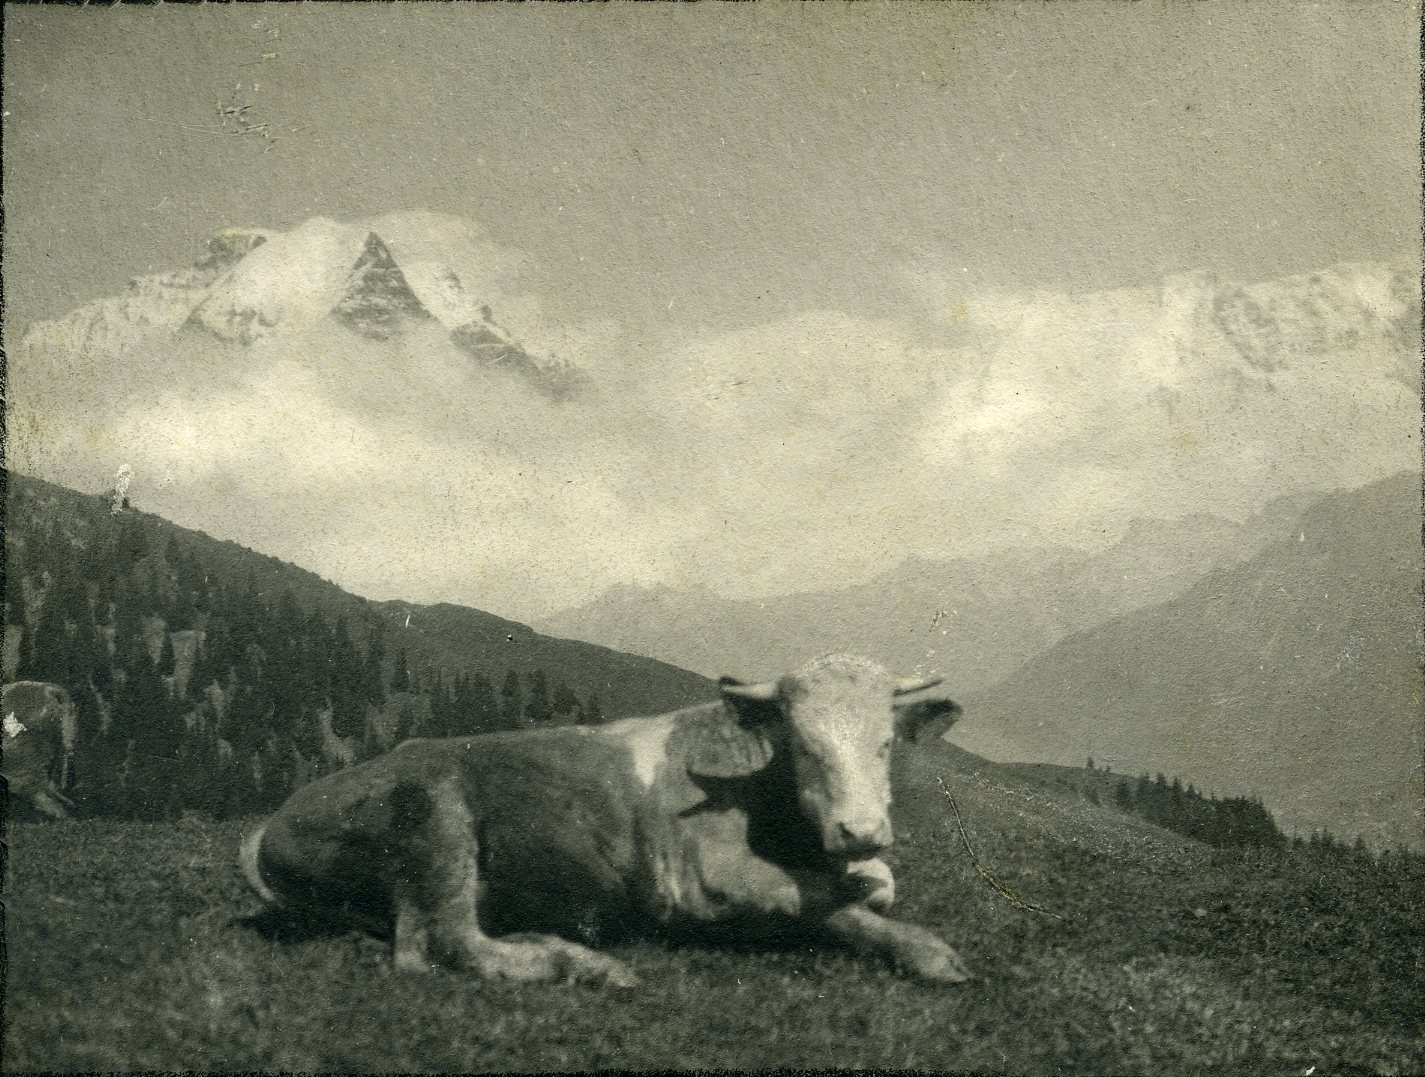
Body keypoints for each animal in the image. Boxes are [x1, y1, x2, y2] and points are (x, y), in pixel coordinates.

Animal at [240, 653, 971, 986]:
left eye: (885, 743)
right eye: (802, 744)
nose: (860, 829)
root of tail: (270, 825)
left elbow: (872, 884)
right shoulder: (701, 880)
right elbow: (819, 897)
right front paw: (928, 951)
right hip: (434, 820)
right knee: (442, 944)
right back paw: (581, 965)